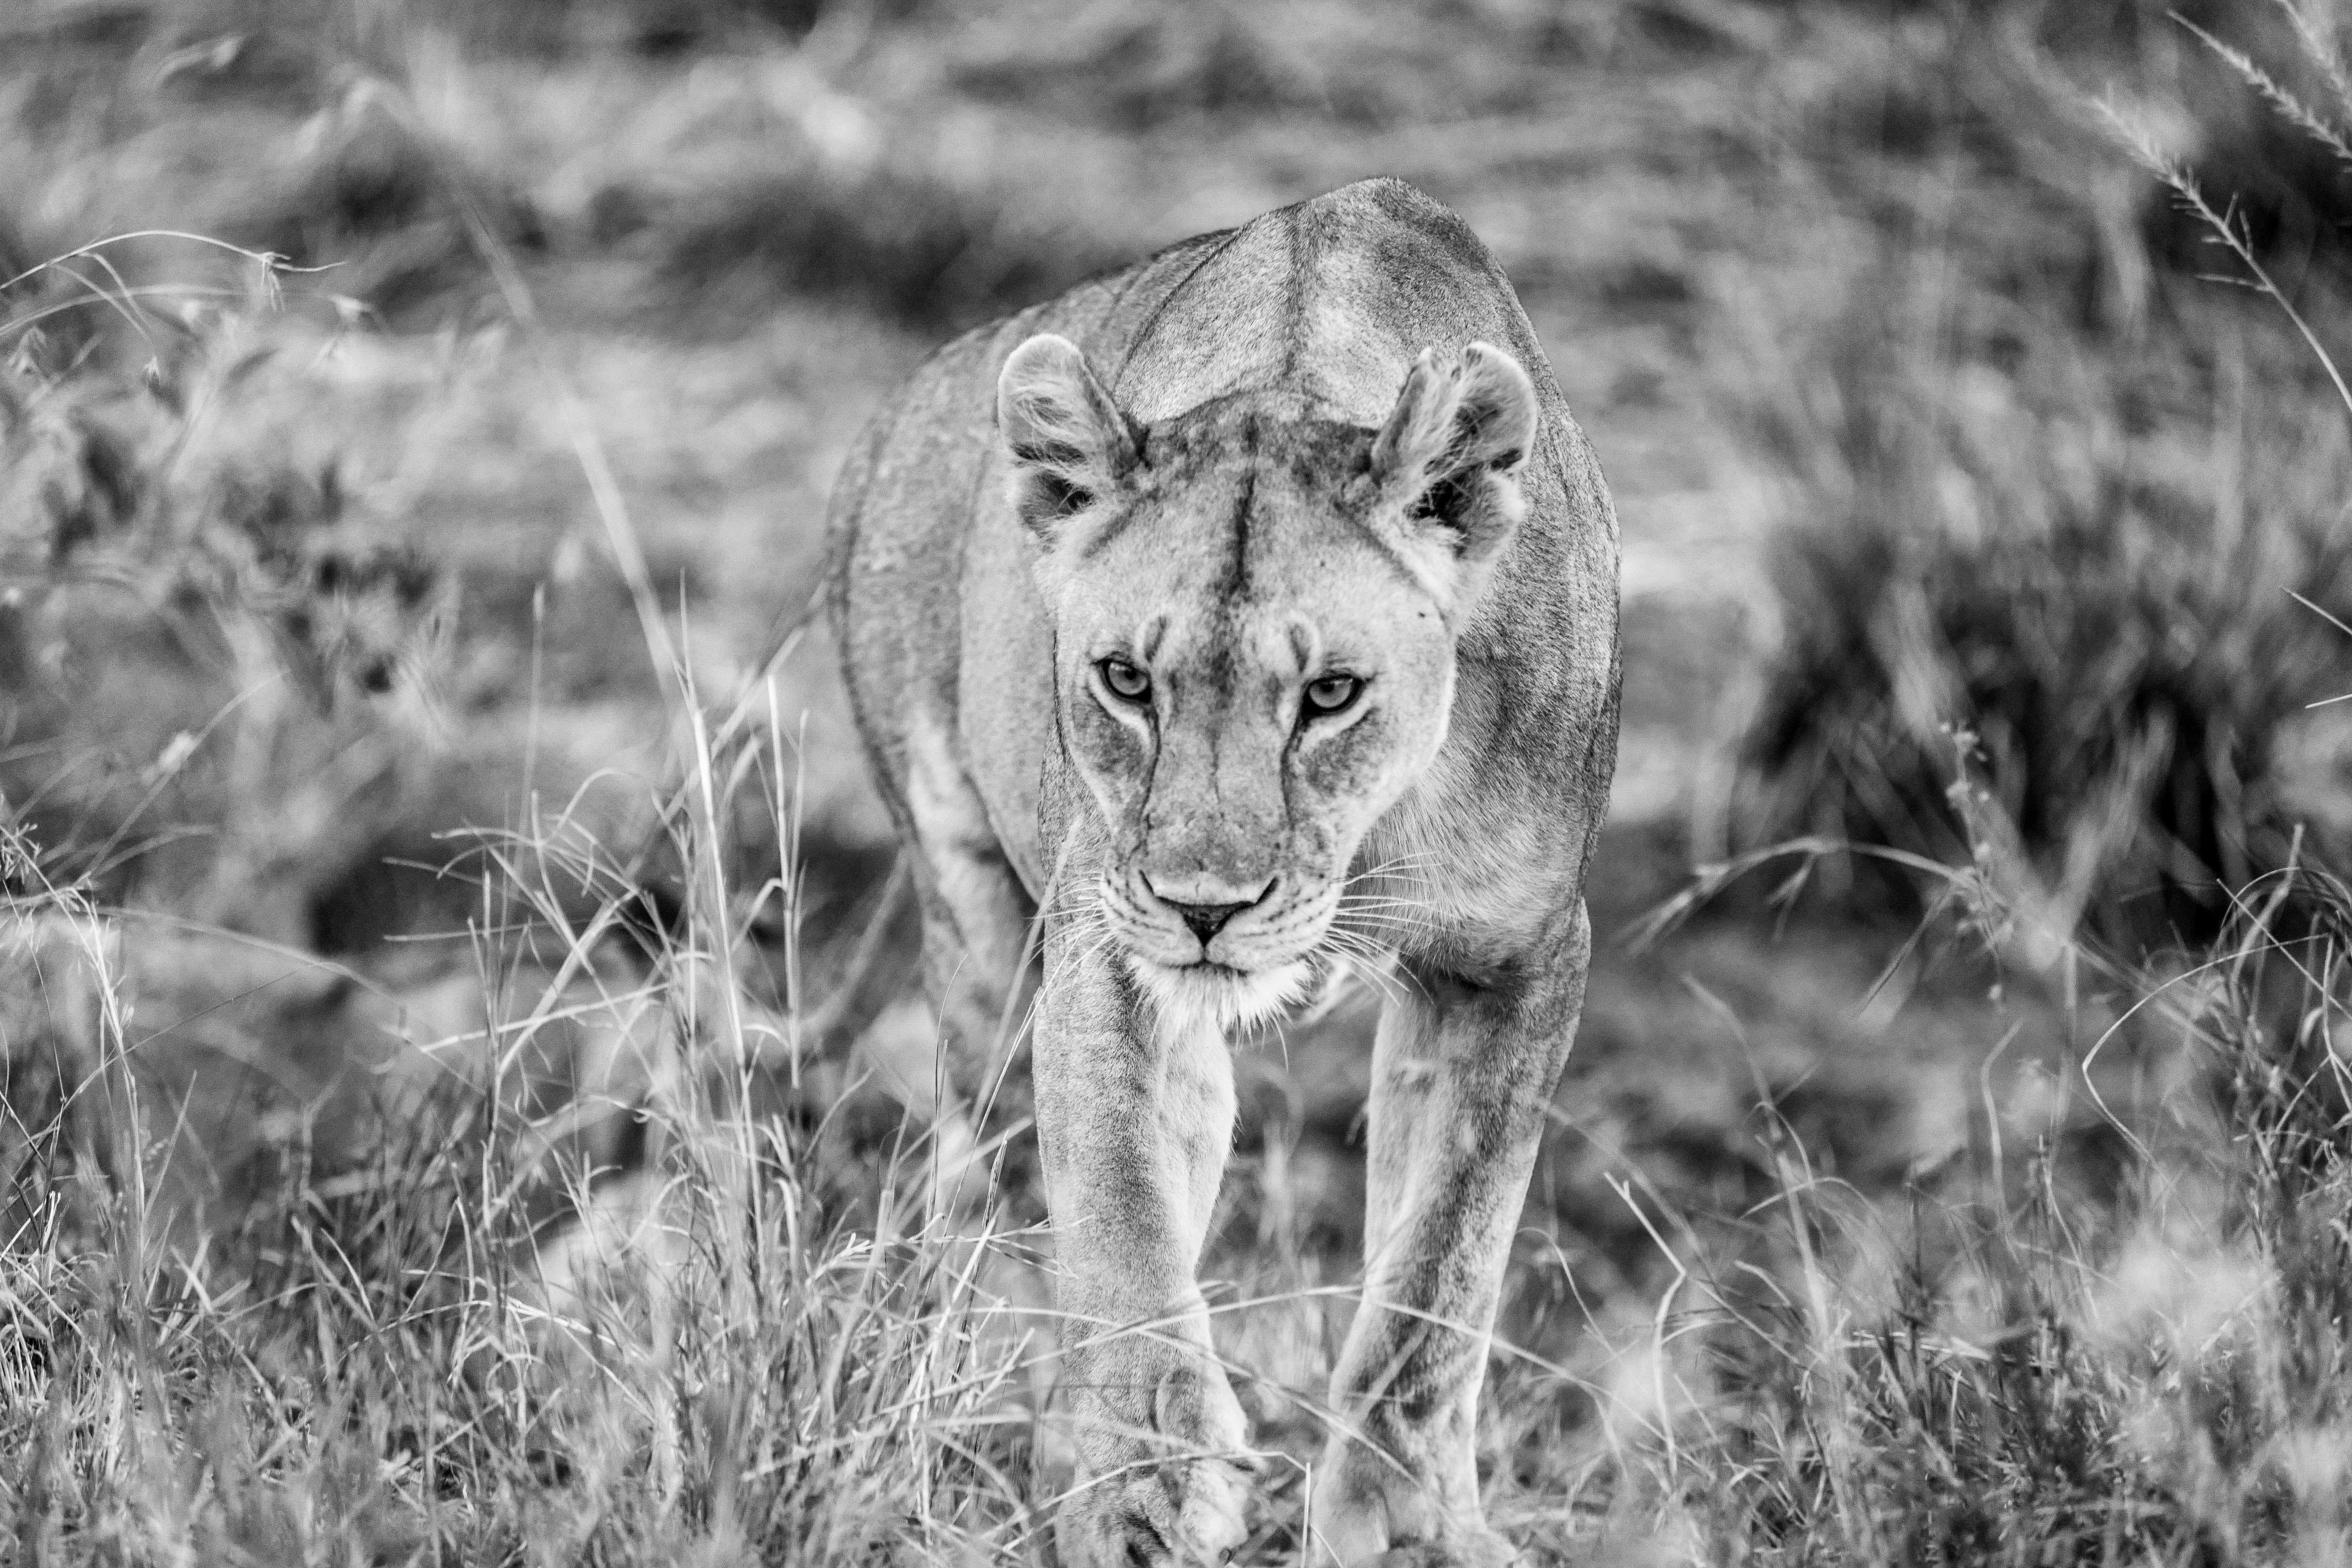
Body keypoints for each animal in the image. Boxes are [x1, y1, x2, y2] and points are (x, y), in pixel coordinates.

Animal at [827, 177, 1620, 1565]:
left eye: (1332, 694)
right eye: (1126, 681)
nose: (1206, 909)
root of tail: (911, 399)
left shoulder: (1519, 958)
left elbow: (1440, 1270)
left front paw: (1406, 1523)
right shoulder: (1105, 948)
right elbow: (1121, 1220)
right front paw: (1150, 1479)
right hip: (973, 927)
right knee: (995, 1203)